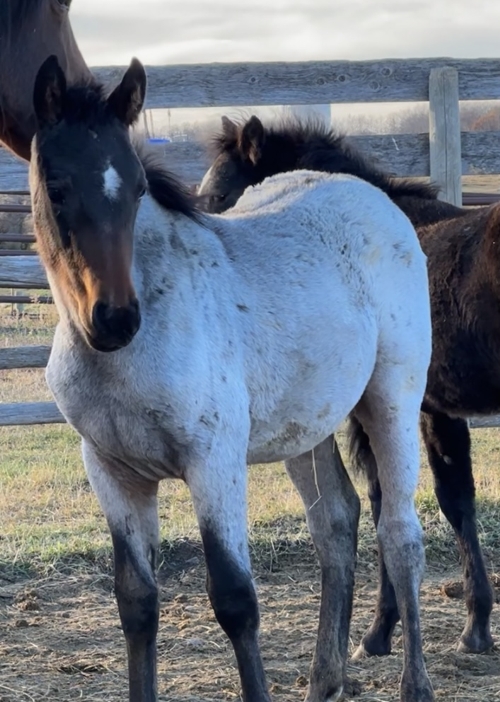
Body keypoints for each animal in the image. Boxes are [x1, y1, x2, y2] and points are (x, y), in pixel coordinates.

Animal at [29, 55, 434, 702]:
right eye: (58, 188)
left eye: (138, 188)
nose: (115, 319)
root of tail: (373, 195)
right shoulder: (111, 471)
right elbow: (137, 603)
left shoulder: (213, 460)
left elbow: (236, 600)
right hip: (306, 427)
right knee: (336, 524)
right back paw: (324, 680)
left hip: (391, 399)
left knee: (399, 534)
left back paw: (413, 684)